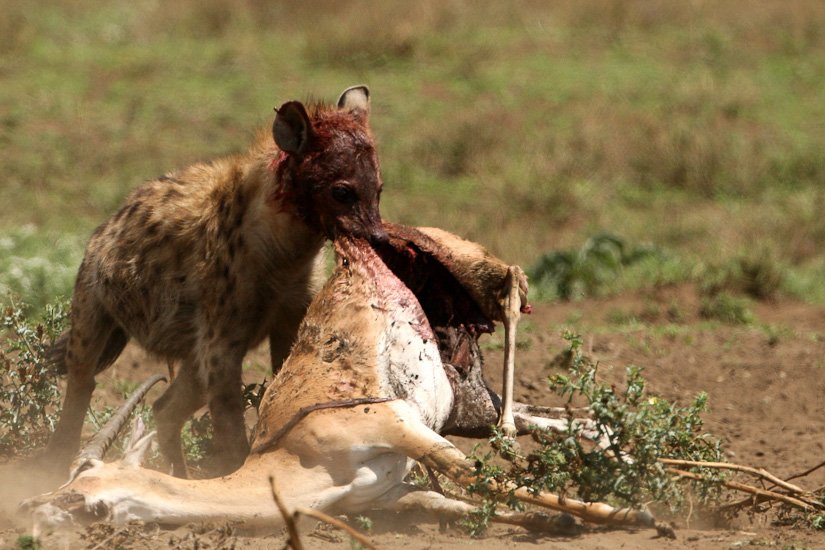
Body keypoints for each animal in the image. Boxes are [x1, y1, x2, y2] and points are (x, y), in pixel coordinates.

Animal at [24, 224, 662, 536]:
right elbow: (454, 502)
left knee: (513, 289)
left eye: (80, 488)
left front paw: (636, 518)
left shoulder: (402, 427)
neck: (295, 457)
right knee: (554, 418)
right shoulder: (394, 489)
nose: (34, 506)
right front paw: (561, 518)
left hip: (478, 281)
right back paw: (627, 459)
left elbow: (478, 481)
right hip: (464, 402)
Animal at [45, 85, 387, 478]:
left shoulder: (290, 315)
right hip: (92, 301)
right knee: (81, 381)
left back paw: (178, 475)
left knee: (166, 408)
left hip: (191, 351)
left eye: (378, 189)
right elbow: (230, 427)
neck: (285, 254)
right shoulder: (221, 340)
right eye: (341, 191)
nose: (378, 238)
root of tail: (108, 224)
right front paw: (237, 475)